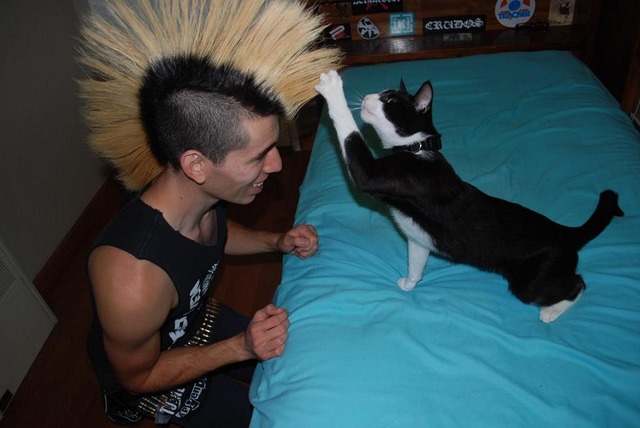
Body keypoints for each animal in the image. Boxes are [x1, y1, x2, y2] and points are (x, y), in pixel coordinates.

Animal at [315, 70, 624, 323]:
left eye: (389, 100)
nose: (368, 96)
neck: (417, 149)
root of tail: (564, 232)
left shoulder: (377, 175)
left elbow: (351, 139)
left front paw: (332, 87)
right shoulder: (419, 239)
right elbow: (417, 262)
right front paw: (410, 283)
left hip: (531, 282)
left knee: (578, 283)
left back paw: (551, 311)